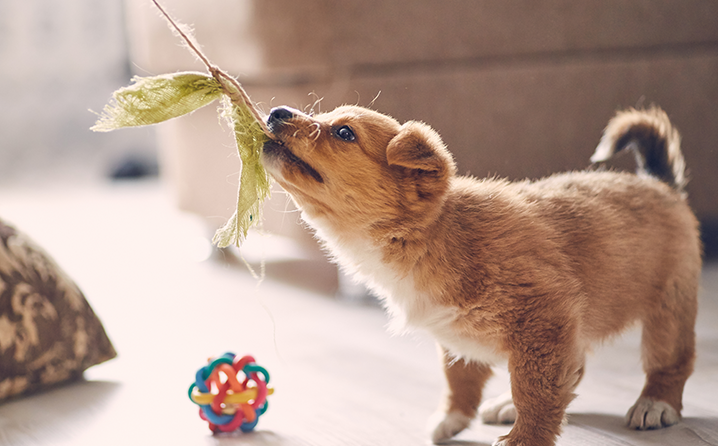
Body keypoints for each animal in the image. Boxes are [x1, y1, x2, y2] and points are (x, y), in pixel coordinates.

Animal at [260, 105, 704, 446]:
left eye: (344, 132)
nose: (276, 111)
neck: (428, 235)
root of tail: (658, 182)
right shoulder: (458, 334)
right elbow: (460, 378)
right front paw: (453, 418)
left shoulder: (543, 317)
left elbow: (534, 389)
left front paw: (525, 438)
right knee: (573, 367)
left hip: (669, 308)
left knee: (670, 361)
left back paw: (654, 403)